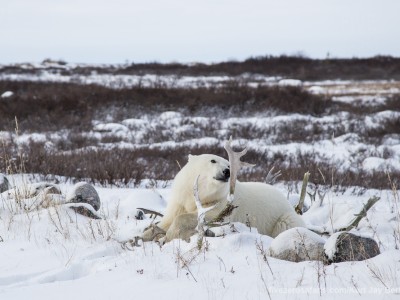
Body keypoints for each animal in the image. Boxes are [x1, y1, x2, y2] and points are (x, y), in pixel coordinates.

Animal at [143, 154, 304, 243]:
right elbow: (168, 219)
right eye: (213, 160)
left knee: (286, 225)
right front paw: (145, 234)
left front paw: (168, 235)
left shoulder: (222, 205)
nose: (227, 171)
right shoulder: (180, 200)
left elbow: (204, 216)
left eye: (228, 164)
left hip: (282, 217)